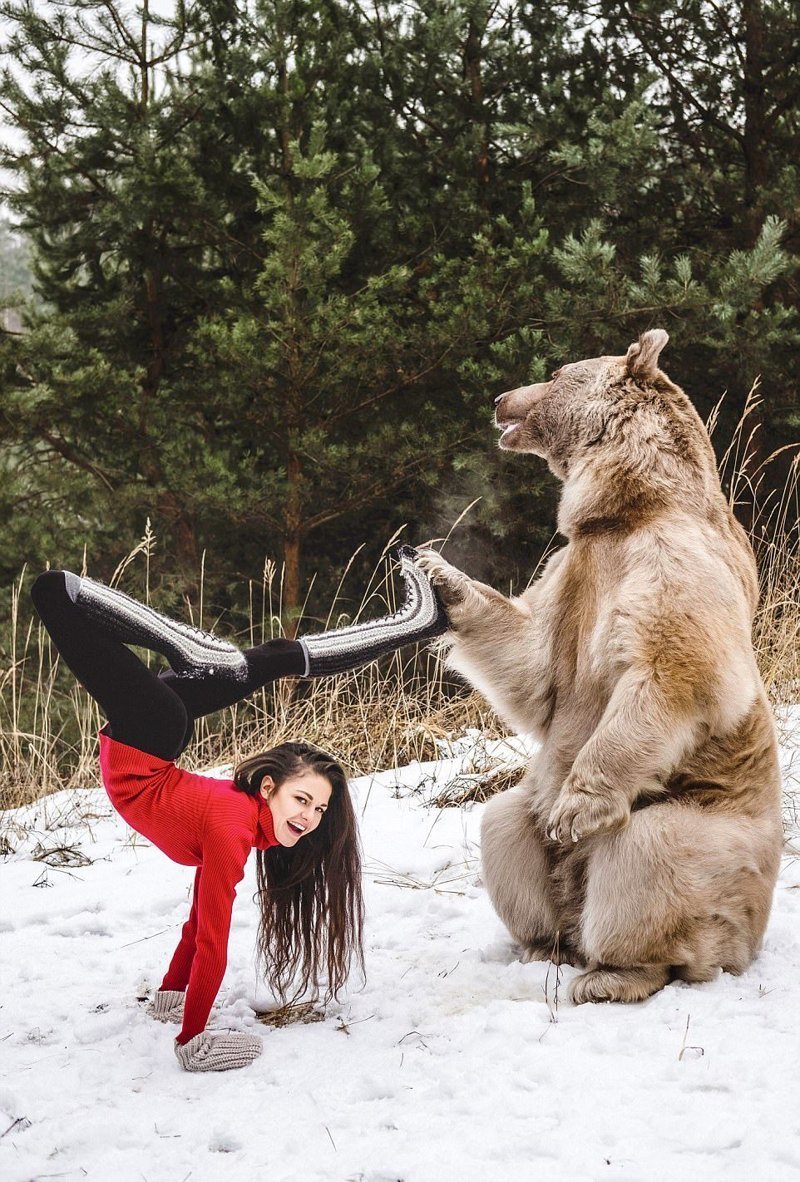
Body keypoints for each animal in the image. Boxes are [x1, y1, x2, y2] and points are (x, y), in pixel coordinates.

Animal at [415, 328, 784, 1002]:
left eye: (558, 372)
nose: (501, 400)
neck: (628, 506)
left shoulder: (672, 560)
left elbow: (673, 666)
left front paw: (577, 808)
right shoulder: (573, 572)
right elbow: (532, 660)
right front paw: (438, 574)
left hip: (719, 837)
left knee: (652, 854)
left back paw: (614, 972)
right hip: (529, 820)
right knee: (504, 823)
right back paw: (545, 941)